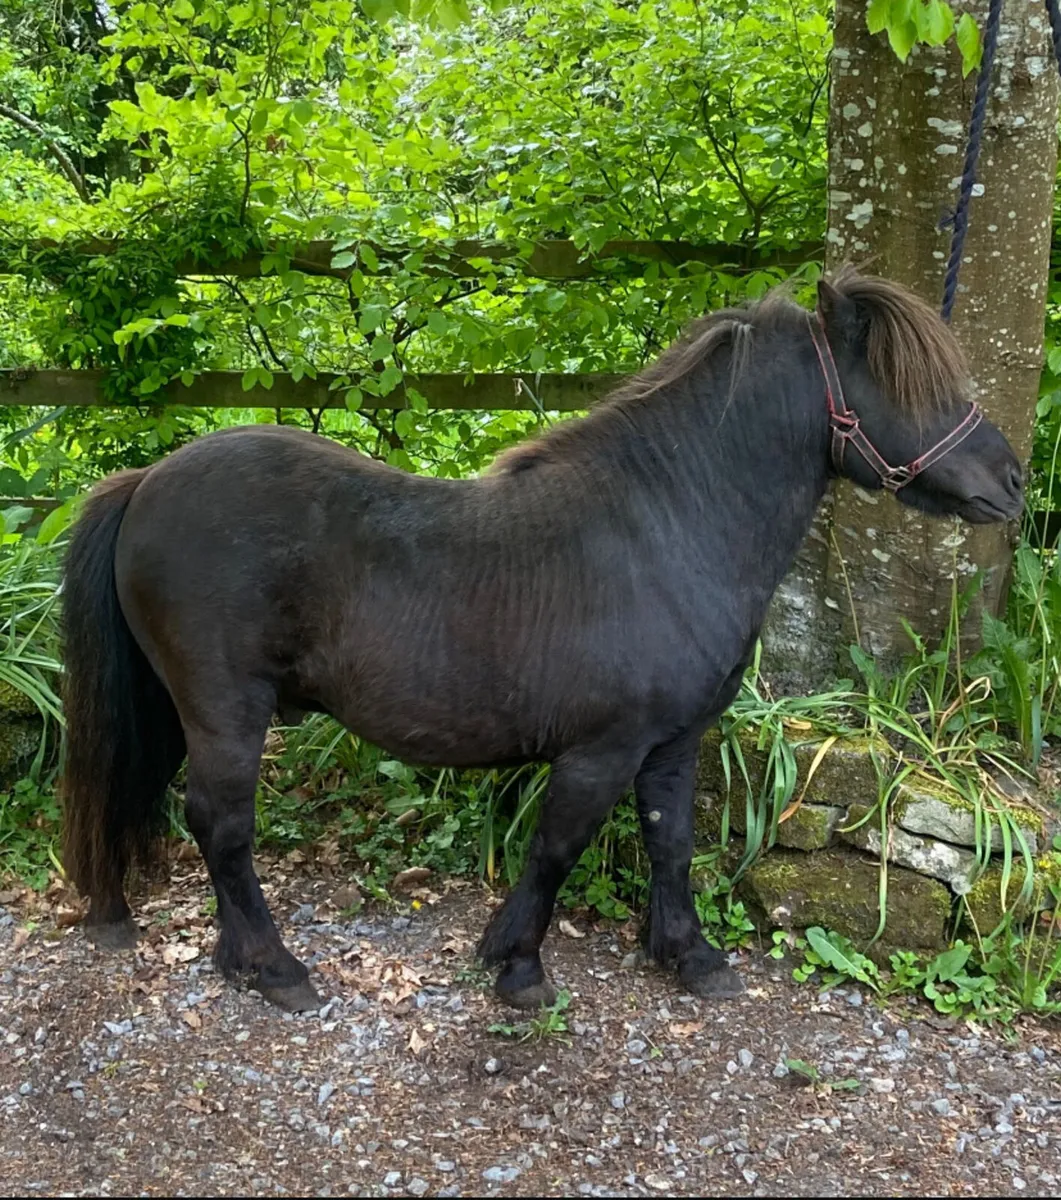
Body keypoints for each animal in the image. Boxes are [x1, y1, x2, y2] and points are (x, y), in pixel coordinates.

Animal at [59, 267, 1024, 1013]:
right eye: (908, 385)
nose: (1012, 481)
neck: (667, 526)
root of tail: (148, 481)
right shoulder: (602, 749)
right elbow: (558, 849)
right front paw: (518, 967)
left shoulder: (673, 742)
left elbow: (669, 841)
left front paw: (689, 957)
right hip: (227, 709)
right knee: (221, 825)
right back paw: (274, 968)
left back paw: (226, 954)